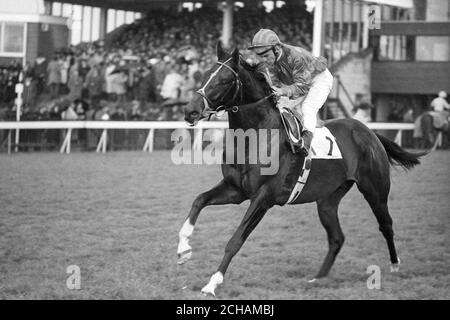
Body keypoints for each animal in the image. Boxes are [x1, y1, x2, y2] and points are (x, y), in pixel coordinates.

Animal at [178, 43, 424, 298]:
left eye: (225, 80)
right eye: (205, 75)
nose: (190, 111)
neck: (255, 136)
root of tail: (369, 132)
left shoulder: (263, 197)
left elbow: (235, 240)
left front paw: (212, 284)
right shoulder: (236, 189)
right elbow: (199, 200)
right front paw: (184, 249)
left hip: (375, 190)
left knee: (386, 225)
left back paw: (395, 265)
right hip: (327, 200)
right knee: (337, 237)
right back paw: (318, 278)